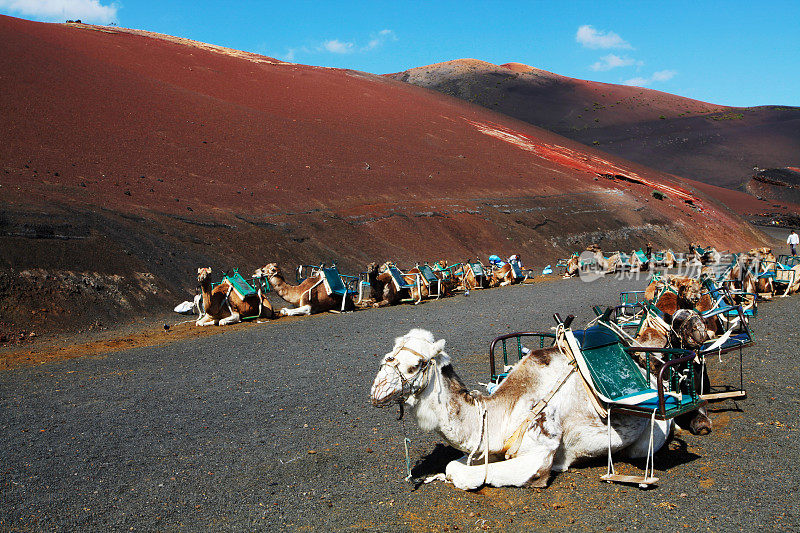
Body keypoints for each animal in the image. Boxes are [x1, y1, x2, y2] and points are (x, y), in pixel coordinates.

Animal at [372, 328, 672, 490]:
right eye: (390, 354)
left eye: (416, 365)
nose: (377, 391)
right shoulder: (489, 445)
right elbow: (453, 465)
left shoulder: (540, 451)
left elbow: (466, 473)